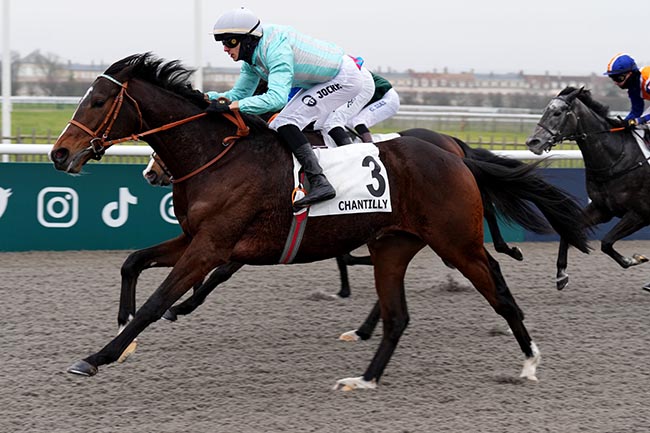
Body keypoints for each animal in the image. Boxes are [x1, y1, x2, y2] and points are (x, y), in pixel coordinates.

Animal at [50, 53, 588, 388]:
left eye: (98, 101)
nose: (59, 154)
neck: (218, 156)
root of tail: (454, 153)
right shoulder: (196, 238)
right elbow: (133, 261)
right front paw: (123, 331)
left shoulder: (215, 244)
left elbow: (162, 299)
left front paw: (100, 355)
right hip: (394, 243)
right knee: (397, 311)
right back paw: (365, 368)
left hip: (458, 240)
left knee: (496, 285)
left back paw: (529, 363)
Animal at [528, 86, 648, 290]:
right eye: (545, 110)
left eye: (557, 112)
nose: (532, 142)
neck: (617, 159)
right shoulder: (602, 209)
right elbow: (568, 230)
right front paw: (561, 275)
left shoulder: (639, 214)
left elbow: (606, 243)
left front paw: (635, 259)